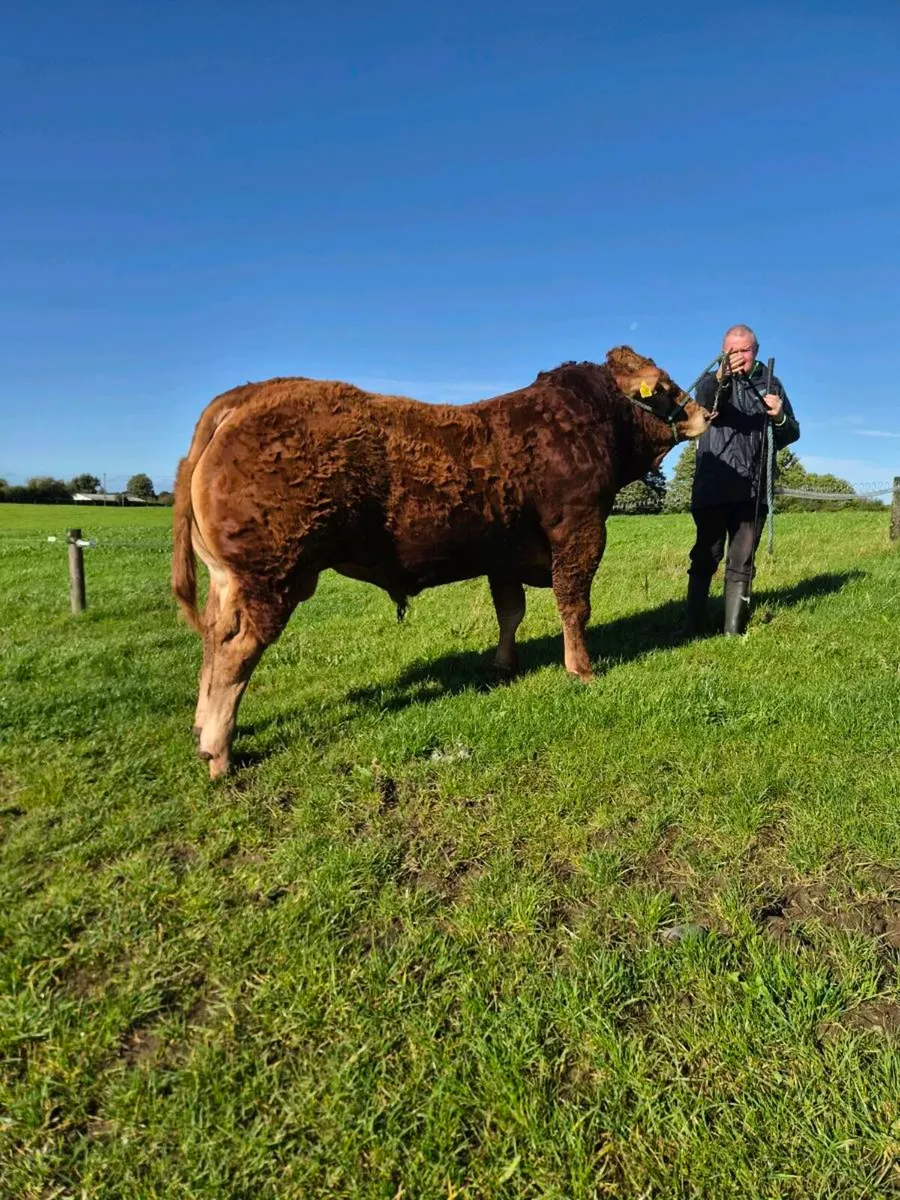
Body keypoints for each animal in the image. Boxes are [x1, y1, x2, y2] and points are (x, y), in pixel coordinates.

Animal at [172, 346, 712, 778]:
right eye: (662, 385)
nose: (705, 413)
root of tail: (250, 394)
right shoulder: (580, 532)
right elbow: (573, 606)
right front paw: (581, 669)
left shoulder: (504, 555)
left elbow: (510, 612)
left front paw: (504, 666)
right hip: (271, 577)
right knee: (235, 651)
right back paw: (218, 752)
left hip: (231, 579)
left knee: (213, 638)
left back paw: (200, 727)